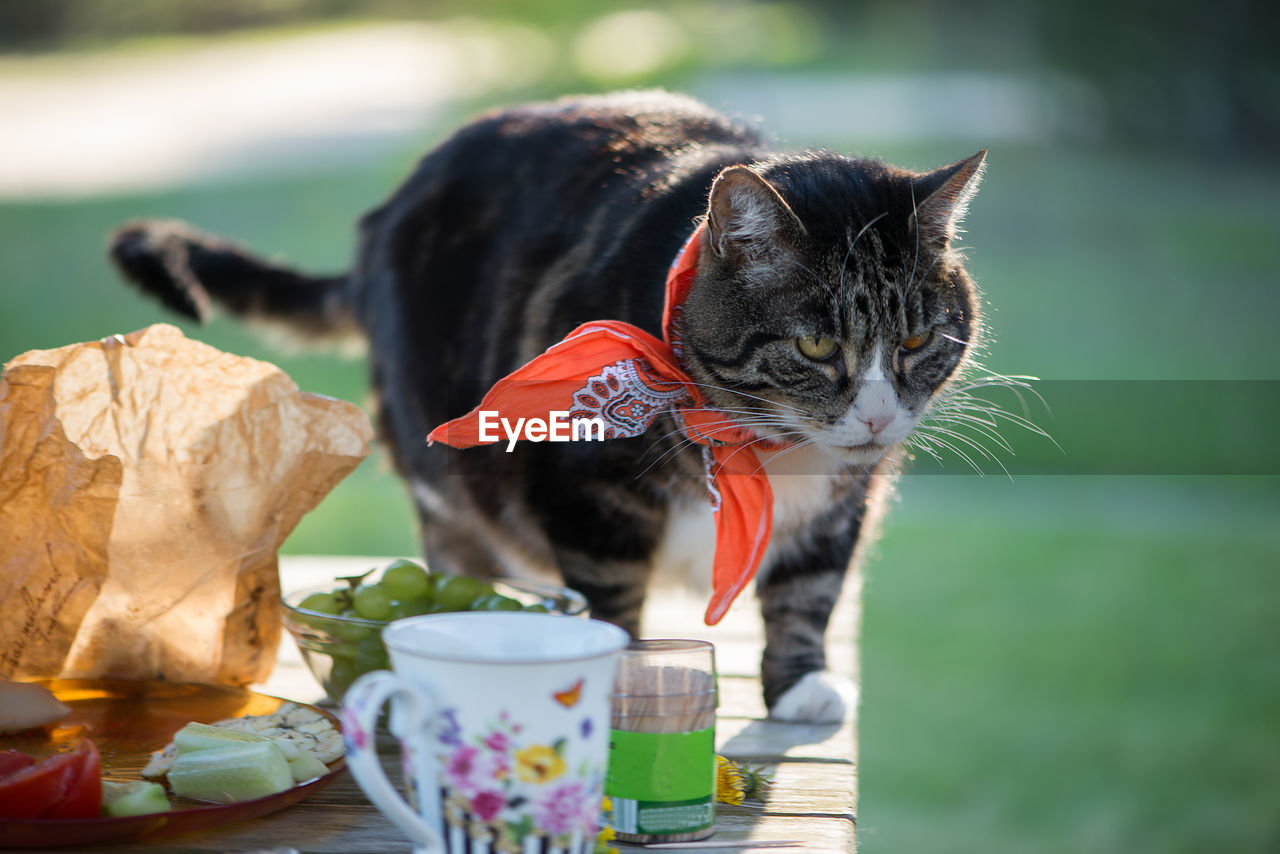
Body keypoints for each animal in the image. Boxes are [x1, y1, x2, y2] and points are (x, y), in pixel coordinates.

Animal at [112, 90, 988, 727]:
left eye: (917, 339)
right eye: (814, 346)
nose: (877, 417)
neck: (751, 437)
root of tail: (384, 217)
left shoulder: (844, 498)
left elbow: (810, 587)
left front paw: (801, 685)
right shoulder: (587, 494)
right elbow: (609, 596)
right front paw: (610, 668)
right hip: (442, 464)